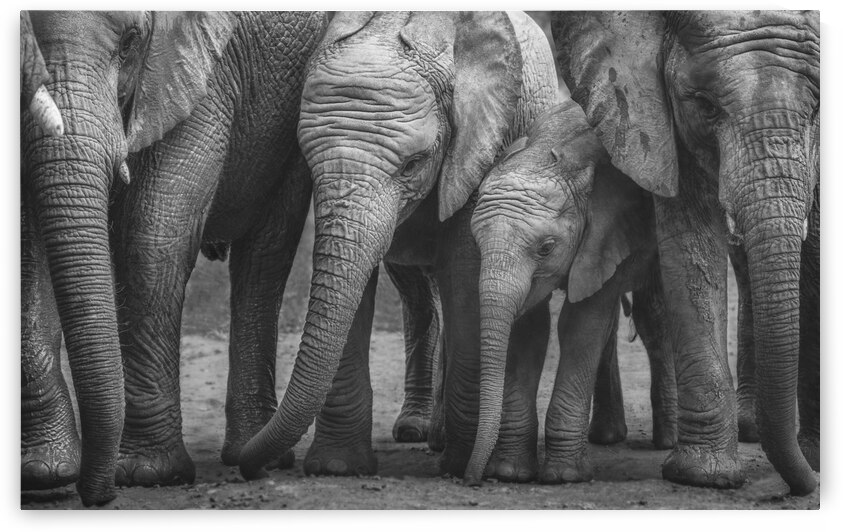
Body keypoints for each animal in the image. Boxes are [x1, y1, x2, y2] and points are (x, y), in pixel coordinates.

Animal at [21, 11, 328, 505]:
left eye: (130, 42)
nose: (98, 496)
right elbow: (26, 240)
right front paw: (44, 473)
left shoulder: (196, 72)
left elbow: (153, 231)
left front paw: (146, 475)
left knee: (265, 255)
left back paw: (254, 456)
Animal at [238, 11, 560, 480]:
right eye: (307, 159)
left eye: (413, 164)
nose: (253, 467)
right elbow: (350, 276)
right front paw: (337, 467)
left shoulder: (486, 136)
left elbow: (465, 270)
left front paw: (459, 464)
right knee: (415, 291)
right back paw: (417, 431)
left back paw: (438, 439)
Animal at [463, 100, 676, 484]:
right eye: (476, 242)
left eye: (546, 248)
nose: (471, 479)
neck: (554, 158)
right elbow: (530, 330)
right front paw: (511, 472)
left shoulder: (609, 229)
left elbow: (580, 326)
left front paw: (563, 476)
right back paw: (606, 436)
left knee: (655, 315)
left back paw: (667, 440)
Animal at [553, 11, 819, 494]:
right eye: (707, 106)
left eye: (816, 108)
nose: (797, 487)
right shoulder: (663, 119)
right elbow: (692, 249)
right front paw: (706, 476)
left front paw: (814, 461)